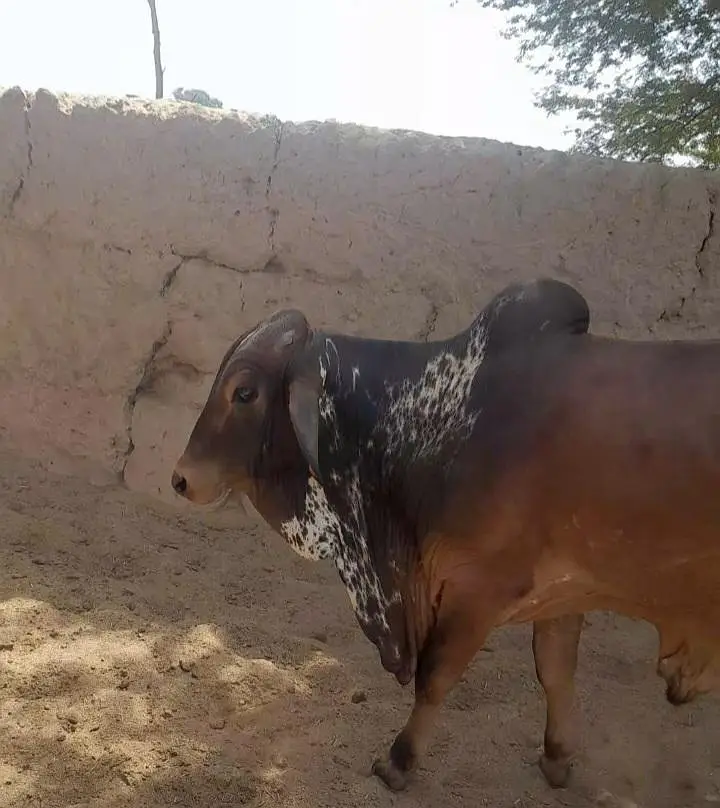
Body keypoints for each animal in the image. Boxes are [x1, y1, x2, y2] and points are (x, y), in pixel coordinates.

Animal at [171, 277, 720, 793]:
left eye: (245, 392)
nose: (181, 479)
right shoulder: (565, 588)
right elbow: (556, 671)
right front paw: (557, 757)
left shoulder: (480, 587)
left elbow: (434, 677)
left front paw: (398, 762)